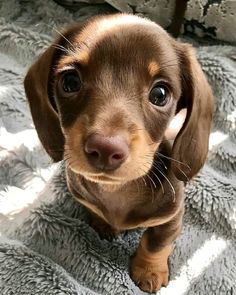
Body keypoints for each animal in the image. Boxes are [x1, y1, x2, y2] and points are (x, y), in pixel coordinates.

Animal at [24, 13, 214, 294]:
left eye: (160, 94)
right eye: (70, 81)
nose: (105, 149)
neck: (118, 190)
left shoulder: (171, 218)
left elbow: (155, 244)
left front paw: (149, 270)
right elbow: (95, 211)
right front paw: (103, 223)